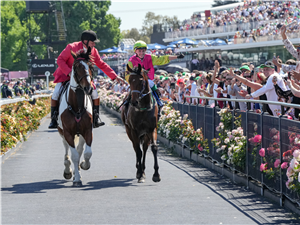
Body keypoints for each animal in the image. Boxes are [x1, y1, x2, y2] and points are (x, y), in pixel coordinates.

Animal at [56, 47, 93, 186]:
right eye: (76, 67)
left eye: (90, 66)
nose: (88, 88)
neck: (77, 106)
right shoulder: (68, 132)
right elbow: (74, 155)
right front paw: (76, 178)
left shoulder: (87, 130)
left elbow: (87, 153)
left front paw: (83, 166)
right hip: (62, 132)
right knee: (67, 150)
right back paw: (68, 170)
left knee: (80, 149)